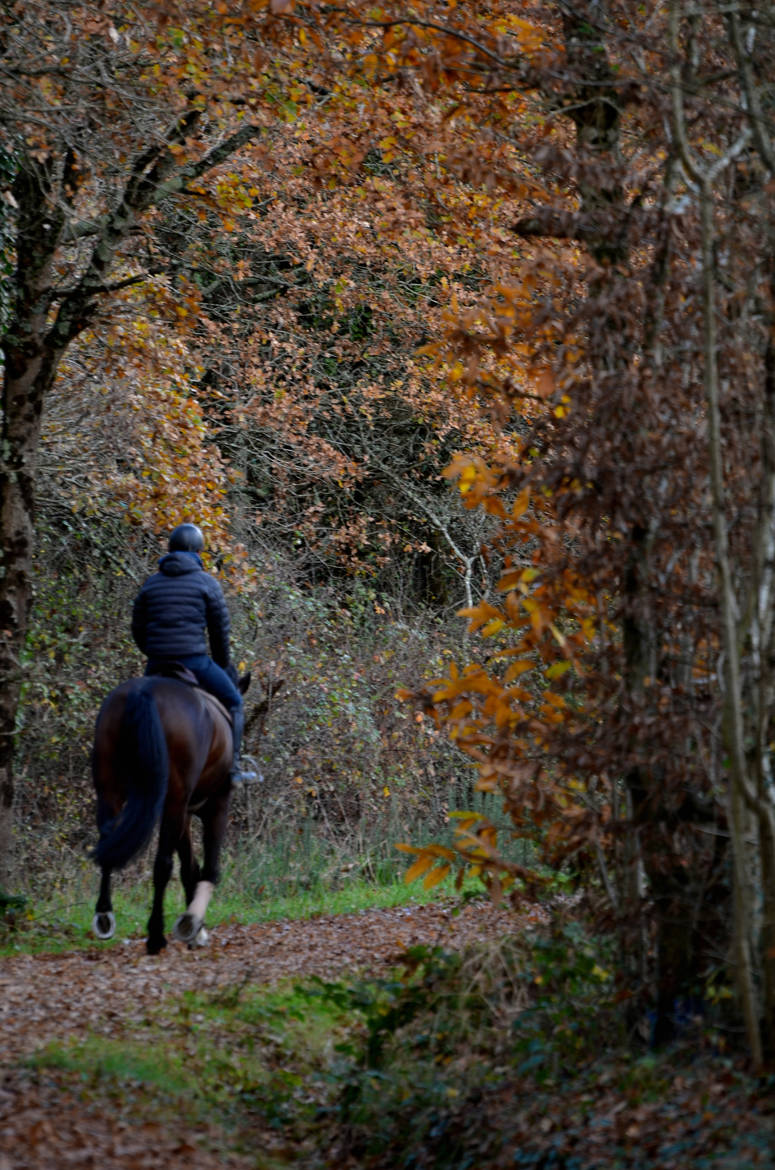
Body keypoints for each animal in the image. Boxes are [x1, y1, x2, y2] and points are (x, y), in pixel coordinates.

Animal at [90, 664, 250, 954]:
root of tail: (143, 693)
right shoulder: (216, 805)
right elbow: (207, 867)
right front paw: (193, 922)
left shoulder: (184, 813)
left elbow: (189, 868)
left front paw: (196, 930)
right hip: (173, 799)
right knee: (162, 864)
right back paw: (155, 936)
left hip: (110, 791)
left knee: (108, 844)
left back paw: (104, 916)